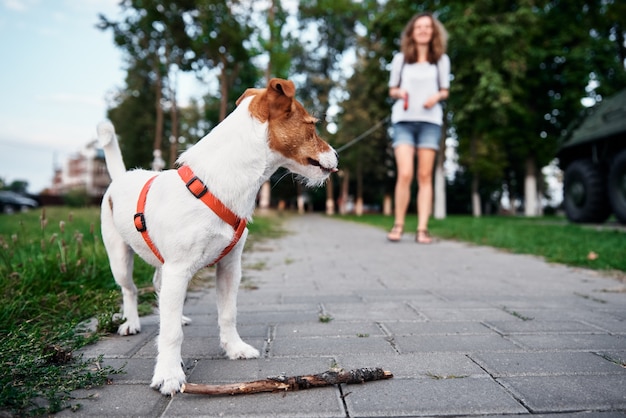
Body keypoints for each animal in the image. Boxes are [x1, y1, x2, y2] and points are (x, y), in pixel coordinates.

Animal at [96, 78, 336, 396]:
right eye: (312, 125)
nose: (337, 156)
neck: (215, 184)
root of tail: (121, 178)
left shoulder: (229, 267)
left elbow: (227, 313)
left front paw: (235, 348)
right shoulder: (179, 269)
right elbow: (170, 334)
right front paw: (169, 374)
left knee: (159, 286)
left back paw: (177, 315)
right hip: (120, 258)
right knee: (131, 290)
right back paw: (131, 322)